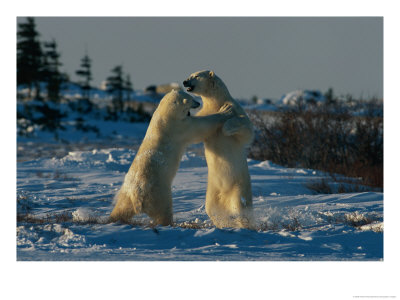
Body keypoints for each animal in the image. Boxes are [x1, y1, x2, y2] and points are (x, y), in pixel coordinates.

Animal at [111, 89, 233, 225]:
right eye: (191, 99)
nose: (198, 103)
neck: (164, 115)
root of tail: (138, 194)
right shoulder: (179, 127)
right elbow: (201, 126)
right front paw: (225, 110)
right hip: (158, 193)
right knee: (164, 211)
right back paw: (169, 222)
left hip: (126, 193)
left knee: (122, 208)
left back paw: (112, 218)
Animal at [184, 70, 255, 229]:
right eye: (190, 74)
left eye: (196, 76)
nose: (185, 82)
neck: (217, 101)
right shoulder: (204, 113)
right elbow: (196, 131)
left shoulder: (236, 109)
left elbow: (246, 130)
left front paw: (225, 128)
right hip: (213, 188)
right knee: (211, 208)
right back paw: (223, 222)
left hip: (239, 184)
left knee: (239, 205)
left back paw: (243, 223)